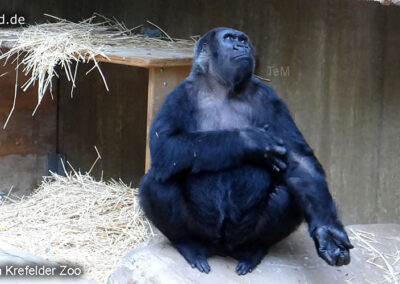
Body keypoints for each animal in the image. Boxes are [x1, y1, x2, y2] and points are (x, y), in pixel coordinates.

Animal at [139, 27, 352, 276]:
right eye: (229, 39)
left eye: (243, 40)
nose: (242, 46)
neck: (222, 88)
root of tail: (221, 249)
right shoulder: (179, 94)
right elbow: (165, 147)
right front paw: (252, 141)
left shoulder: (269, 97)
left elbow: (299, 161)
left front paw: (328, 232)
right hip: (204, 234)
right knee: (156, 183)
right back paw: (188, 245)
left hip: (240, 237)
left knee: (288, 195)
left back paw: (253, 250)